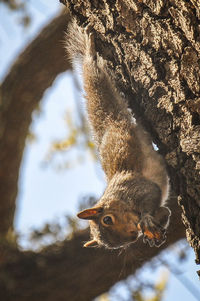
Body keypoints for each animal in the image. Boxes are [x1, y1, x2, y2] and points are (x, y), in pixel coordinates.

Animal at [65, 19, 170, 247]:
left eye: (107, 219)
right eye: (112, 246)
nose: (132, 235)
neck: (116, 198)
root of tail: (110, 123)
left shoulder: (135, 186)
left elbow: (152, 193)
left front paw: (146, 219)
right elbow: (164, 211)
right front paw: (151, 234)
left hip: (97, 78)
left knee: (93, 70)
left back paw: (89, 50)